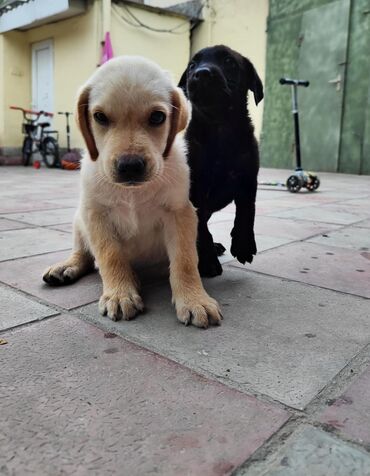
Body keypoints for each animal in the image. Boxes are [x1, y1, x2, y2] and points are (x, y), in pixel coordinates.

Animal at [43, 55, 223, 330]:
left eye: (157, 117)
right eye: (100, 117)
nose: (130, 166)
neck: (133, 193)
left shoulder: (180, 213)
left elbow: (184, 261)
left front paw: (194, 299)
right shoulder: (96, 214)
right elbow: (110, 256)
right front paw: (119, 294)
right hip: (79, 220)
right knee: (84, 253)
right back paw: (66, 267)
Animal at [178, 44, 264, 278]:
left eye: (229, 62)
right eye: (192, 65)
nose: (201, 73)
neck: (219, 126)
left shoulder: (248, 179)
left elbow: (247, 211)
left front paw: (243, 245)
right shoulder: (194, 191)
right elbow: (200, 227)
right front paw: (207, 261)